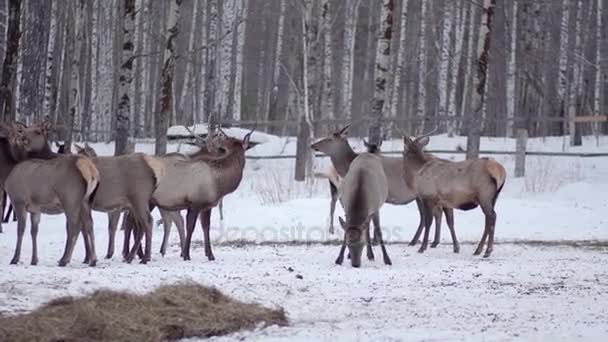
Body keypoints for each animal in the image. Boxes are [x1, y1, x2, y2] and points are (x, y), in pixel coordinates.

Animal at [1, 121, 100, 266]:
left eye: (37, 131)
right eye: (23, 131)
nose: (23, 138)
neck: (7, 173)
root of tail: (90, 169)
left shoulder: (18, 201)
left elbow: (21, 230)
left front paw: (15, 259)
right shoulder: (35, 208)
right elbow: (34, 231)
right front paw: (34, 259)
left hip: (70, 199)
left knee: (74, 226)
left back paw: (65, 259)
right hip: (86, 201)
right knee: (89, 224)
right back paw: (92, 259)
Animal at [308, 125, 456, 251]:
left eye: (329, 139)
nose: (312, 145)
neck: (348, 165)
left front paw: (374, 242)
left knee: (431, 215)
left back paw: (423, 242)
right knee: (432, 215)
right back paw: (428, 242)